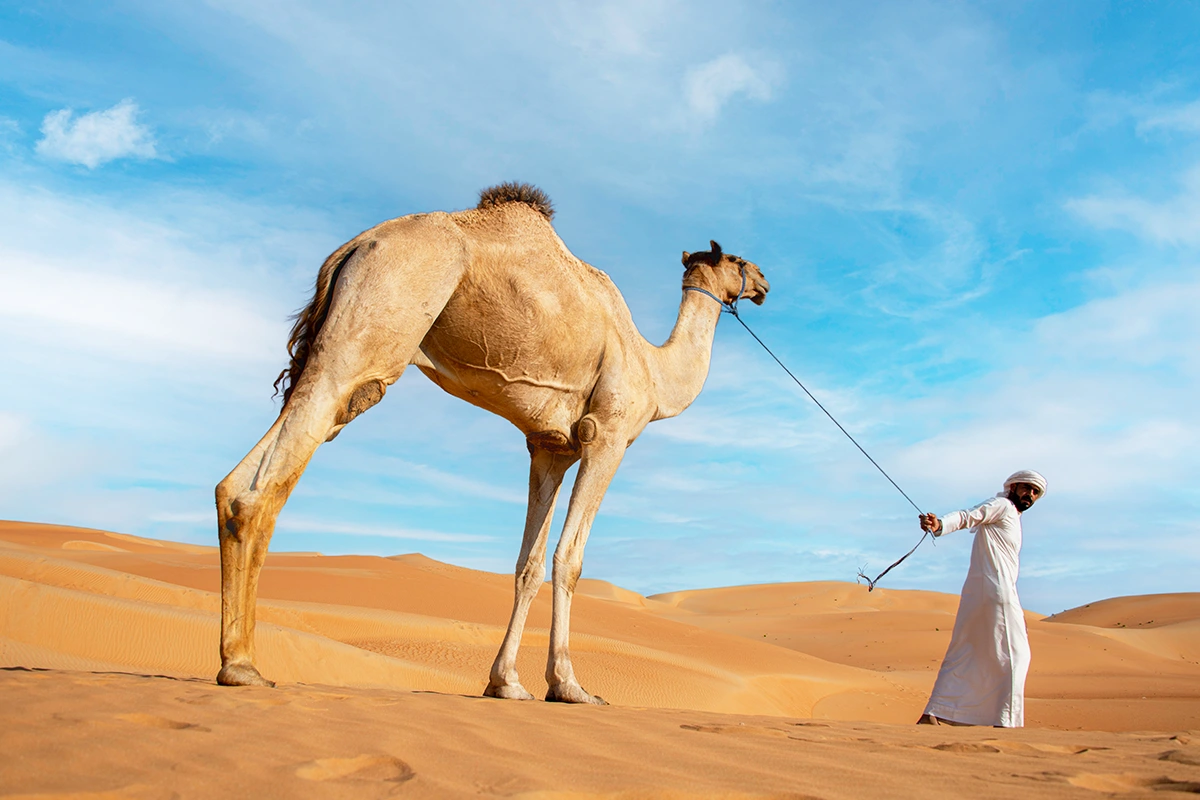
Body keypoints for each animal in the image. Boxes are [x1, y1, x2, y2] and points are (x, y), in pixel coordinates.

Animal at [215, 183, 770, 703]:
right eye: (739, 261)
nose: (764, 283)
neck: (655, 371)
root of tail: (355, 246)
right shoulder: (606, 435)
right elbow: (570, 560)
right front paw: (570, 686)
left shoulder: (551, 448)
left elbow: (529, 565)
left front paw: (505, 682)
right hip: (375, 325)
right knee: (265, 483)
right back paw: (242, 666)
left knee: (240, 480)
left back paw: (235, 660)